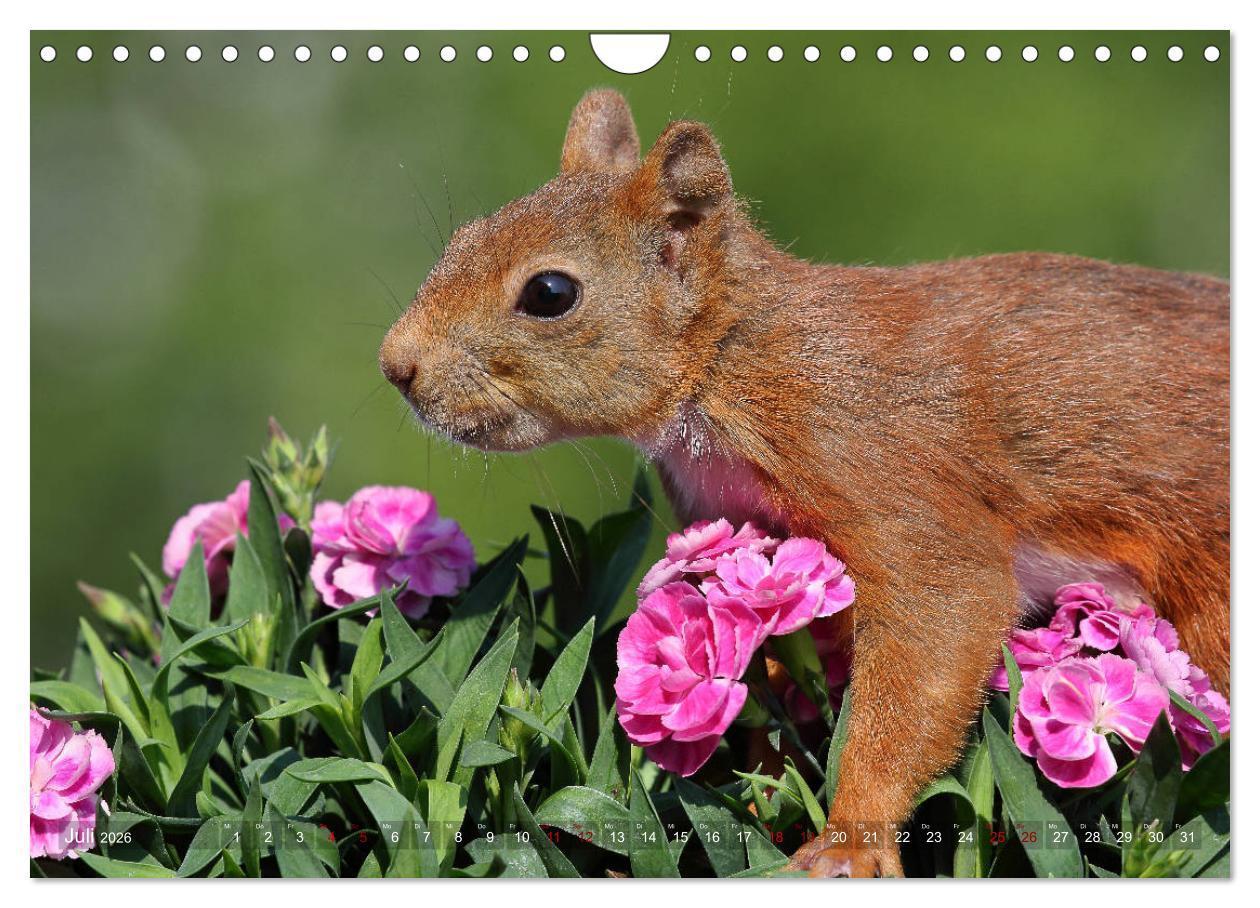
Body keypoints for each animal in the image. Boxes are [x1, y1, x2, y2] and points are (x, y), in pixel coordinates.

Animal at [379, 89, 1229, 877]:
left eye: (550, 293)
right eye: (462, 238)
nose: (396, 366)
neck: (731, 361)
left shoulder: (876, 464)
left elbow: (941, 619)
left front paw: (849, 837)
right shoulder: (748, 528)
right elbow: (767, 665)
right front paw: (760, 789)